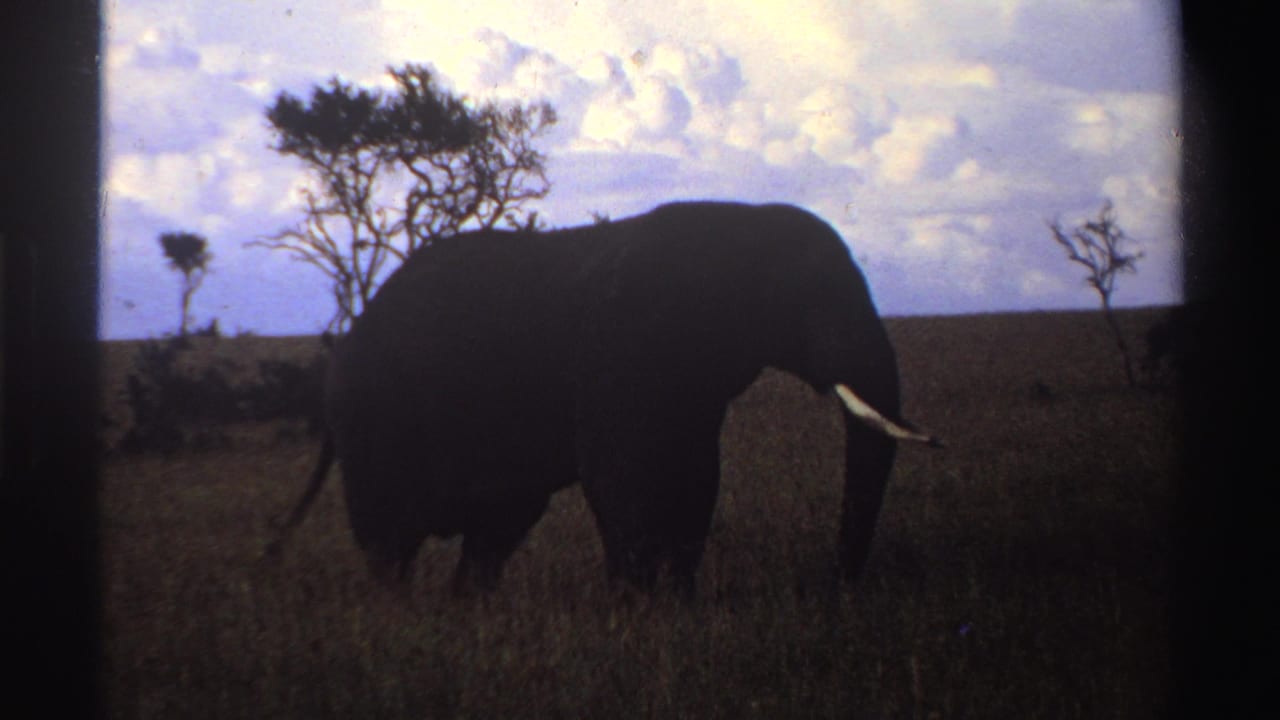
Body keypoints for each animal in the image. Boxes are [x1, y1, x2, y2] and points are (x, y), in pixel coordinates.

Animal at [267, 201, 939, 598]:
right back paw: (402, 616)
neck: (740, 226)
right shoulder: (620, 350)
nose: (837, 586)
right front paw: (633, 611)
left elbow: (698, 477)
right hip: (377, 423)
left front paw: (677, 605)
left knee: (494, 531)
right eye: (811, 300)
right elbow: (622, 479)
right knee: (390, 538)